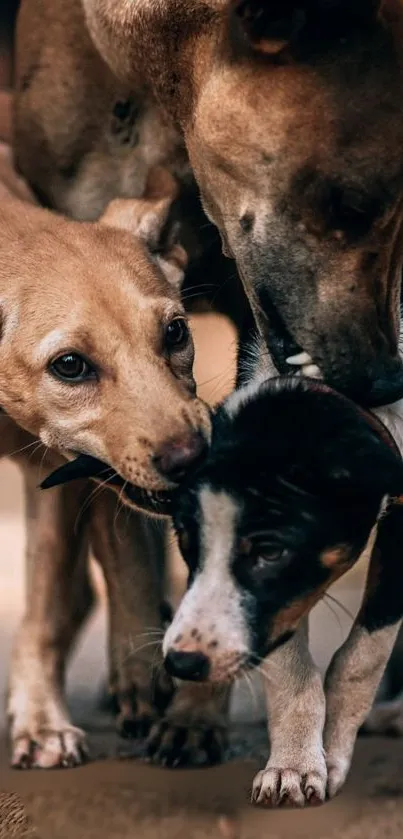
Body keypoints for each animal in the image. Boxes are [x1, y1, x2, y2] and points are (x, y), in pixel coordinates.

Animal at [0, 135, 219, 772]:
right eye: (70, 365)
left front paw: (43, 723)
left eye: (176, 332)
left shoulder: (49, 471)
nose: (192, 458)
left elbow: (45, 608)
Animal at [162, 376, 403, 808]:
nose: (182, 664)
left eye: (271, 552)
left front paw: (332, 749)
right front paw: (294, 764)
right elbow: (290, 666)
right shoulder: (281, 609)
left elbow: (363, 657)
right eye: (187, 544)